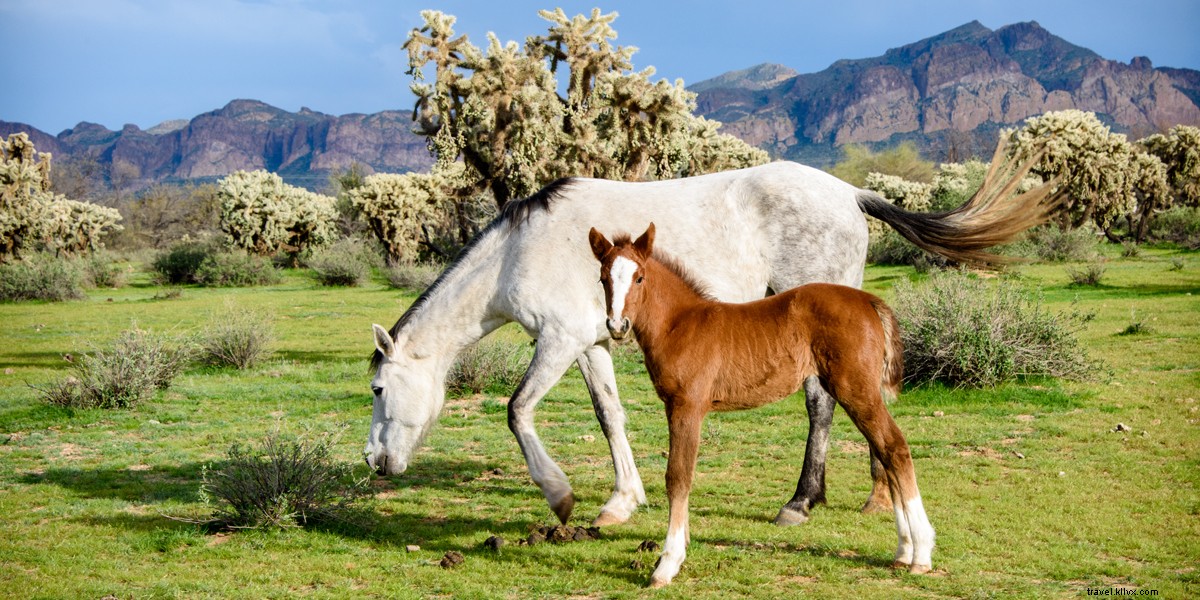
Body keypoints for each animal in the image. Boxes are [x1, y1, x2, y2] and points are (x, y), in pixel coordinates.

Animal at [368, 140, 1056, 528]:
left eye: (377, 389)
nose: (376, 462)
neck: (522, 250)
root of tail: (851, 193)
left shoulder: (558, 341)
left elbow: (517, 411)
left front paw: (560, 497)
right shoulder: (592, 342)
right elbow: (610, 416)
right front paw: (622, 501)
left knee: (823, 406)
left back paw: (802, 502)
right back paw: (876, 498)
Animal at [588, 223, 934, 587]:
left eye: (639, 277)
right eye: (603, 278)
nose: (617, 326)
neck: (679, 324)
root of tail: (869, 299)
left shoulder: (687, 406)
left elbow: (678, 476)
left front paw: (668, 563)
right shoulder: (675, 406)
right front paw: (680, 545)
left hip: (856, 389)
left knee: (895, 447)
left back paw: (921, 554)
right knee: (885, 450)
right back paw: (904, 550)